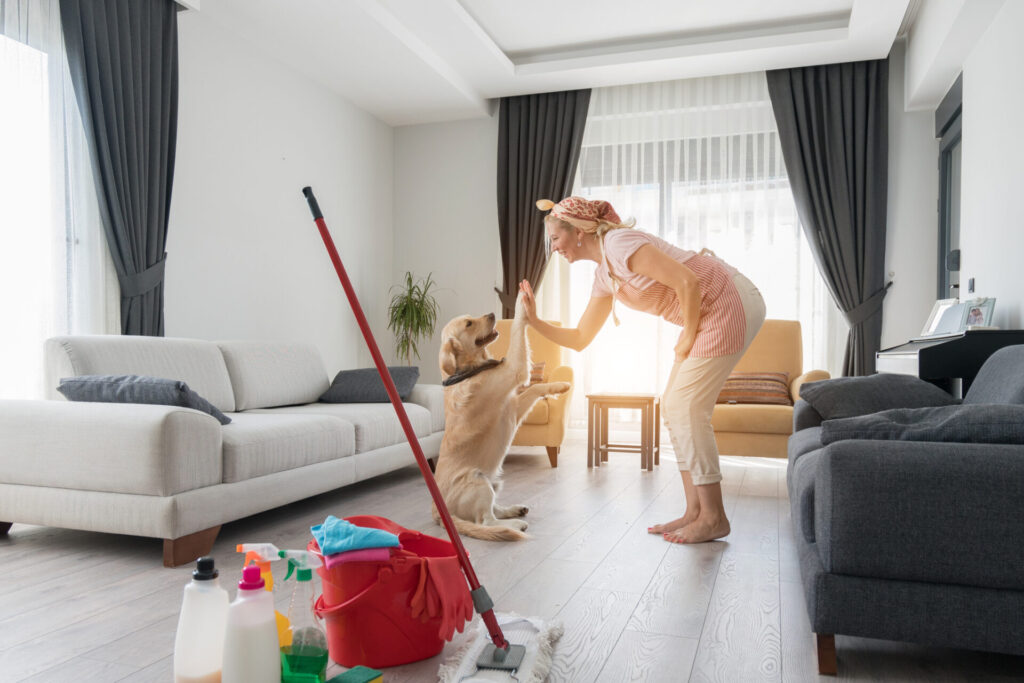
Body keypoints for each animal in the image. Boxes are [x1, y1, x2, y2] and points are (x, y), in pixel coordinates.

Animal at [434, 294, 573, 540]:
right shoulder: (514, 370)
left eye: (470, 318)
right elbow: (518, 327)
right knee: (486, 521)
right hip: (478, 480)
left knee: (494, 510)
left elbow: (535, 388)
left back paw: (514, 509)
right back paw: (515, 524)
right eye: (468, 324)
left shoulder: (513, 408)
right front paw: (522, 301)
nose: (492, 314)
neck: (468, 371)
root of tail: (439, 514)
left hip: (493, 482)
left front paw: (560, 386)